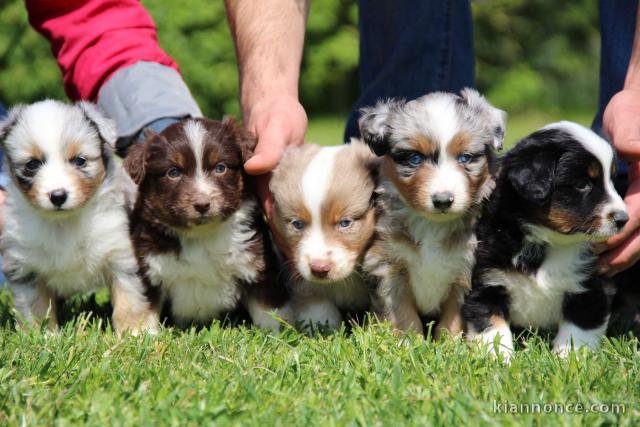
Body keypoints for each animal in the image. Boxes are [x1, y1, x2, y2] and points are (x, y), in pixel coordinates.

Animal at [0, 100, 158, 334]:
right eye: (32, 165)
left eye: (80, 161)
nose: (58, 196)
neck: (64, 223)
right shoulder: (24, 267)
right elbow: (36, 307)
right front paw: (43, 336)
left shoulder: (122, 255)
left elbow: (129, 301)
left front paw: (134, 333)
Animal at [125, 115, 290, 330]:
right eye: (173, 172)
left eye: (220, 168)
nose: (202, 204)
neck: (201, 236)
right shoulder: (149, 271)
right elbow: (144, 310)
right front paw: (140, 335)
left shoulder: (258, 267)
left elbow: (268, 310)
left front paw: (277, 334)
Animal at [270, 142, 384, 330]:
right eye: (297, 224)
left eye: (345, 223)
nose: (319, 269)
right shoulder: (302, 280)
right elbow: (319, 308)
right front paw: (324, 330)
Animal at [360, 89, 504, 338]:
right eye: (414, 158)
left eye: (465, 158)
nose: (443, 200)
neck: (431, 224)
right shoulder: (389, 266)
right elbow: (405, 315)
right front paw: (409, 342)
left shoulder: (465, 269)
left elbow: (452, 319)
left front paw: (449, 344)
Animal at [462, 122, 628, 360]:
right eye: (582, 185)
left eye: (612, 182)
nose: (623, 219)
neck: (549, 241)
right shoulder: (487, 282)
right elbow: (492, 327)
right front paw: (499, 359)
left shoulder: (590, 286)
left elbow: (578, 330)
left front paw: (570, 359)